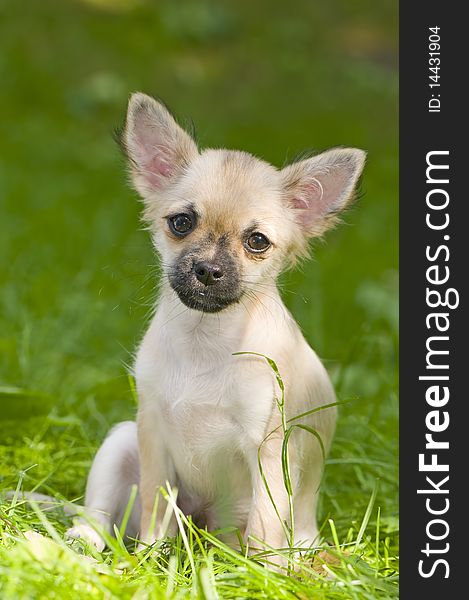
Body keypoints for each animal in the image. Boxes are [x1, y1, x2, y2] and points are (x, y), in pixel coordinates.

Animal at [66, 91, 366, 556]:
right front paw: (150, 558)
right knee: (101, 514)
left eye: (257, 241)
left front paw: (262, 572)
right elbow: (155, 504)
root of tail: (201, 526)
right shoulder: (152, 433)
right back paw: (88, 539)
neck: (205, 340)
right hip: (120, 442)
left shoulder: (269, 451)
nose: (207, 270)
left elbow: (264, 527)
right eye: (181, 223)